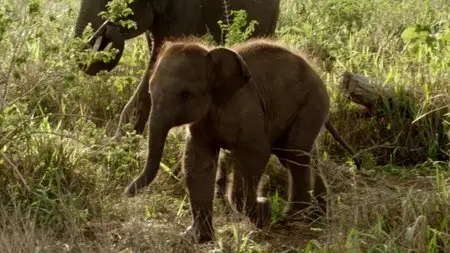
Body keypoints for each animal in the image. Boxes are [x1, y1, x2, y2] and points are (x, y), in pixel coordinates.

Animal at [125, 37, 348, 243]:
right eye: (150, 91)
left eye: (186, 94)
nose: (126, 193)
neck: (211, 54)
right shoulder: (202, 122)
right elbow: (198, 163)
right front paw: (203, 239)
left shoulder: (244, 108)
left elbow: (255, 153)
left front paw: (264, 212)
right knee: (299, 154)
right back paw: (317, 219)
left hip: (312, 102)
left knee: (294, 153)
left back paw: (291, 219)